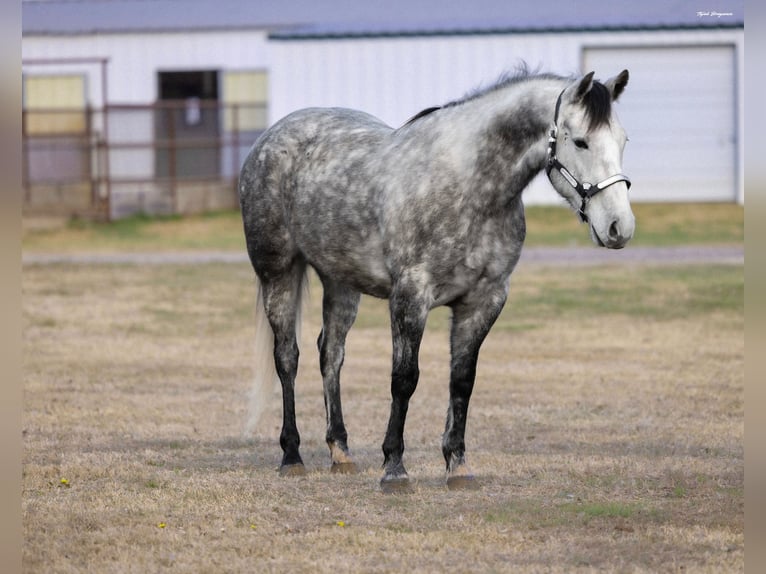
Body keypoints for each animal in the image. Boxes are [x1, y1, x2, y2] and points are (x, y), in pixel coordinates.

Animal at [239, 68, 634, 491]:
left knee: (331, 354)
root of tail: (270, 138)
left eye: (623, 140)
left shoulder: (484, 301)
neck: (468, 186)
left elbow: (462, 381)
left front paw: (457, 465)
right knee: (287, 358)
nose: (619, 227)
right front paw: (394, 468)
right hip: (278, 272)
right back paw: (291, 455)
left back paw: (340, 452)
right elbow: (404, 379)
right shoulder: (411, 296)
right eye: (580, 141)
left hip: (341, 282)